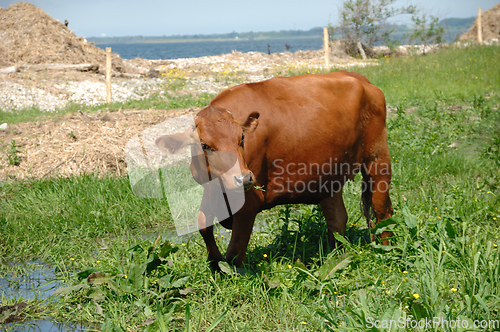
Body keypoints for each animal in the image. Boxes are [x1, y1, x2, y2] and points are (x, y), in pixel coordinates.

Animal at [155, 70, 390, 270]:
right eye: (204, 145)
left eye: (242, 138)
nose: (243, 178)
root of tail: (361, 80)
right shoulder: (209, 188)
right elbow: (204, 225)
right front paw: (214, 263)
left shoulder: (249, 202)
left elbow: (235, 249)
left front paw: (231, 274)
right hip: (330, 175)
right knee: (337, 218)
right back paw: (335, 256)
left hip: (378, 160)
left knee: (382, 209)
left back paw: (385, 248)